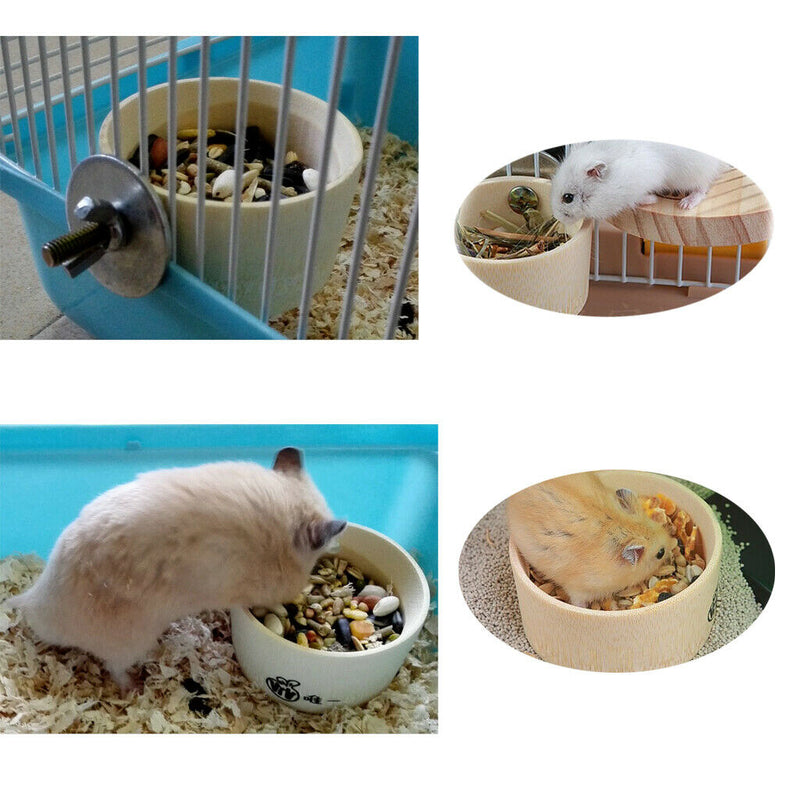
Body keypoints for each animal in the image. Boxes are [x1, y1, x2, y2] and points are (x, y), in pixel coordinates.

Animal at [550, 140, 724, 224]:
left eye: (568, 198)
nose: (557, 218)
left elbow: (638, 199)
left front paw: (652, 200)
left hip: (696, 172)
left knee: (702, 188)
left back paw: (685, 204)